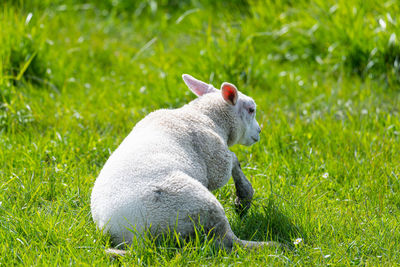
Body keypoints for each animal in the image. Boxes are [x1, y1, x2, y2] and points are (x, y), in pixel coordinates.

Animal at [90, 74, 280, 255]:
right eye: (251, 109)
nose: (259, 132)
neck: (206, 116)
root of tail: (132, 237)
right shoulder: (216, 159)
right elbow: (232, 160)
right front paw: (243, 198)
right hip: (193, 204)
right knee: (227, 241)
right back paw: (270, 246)